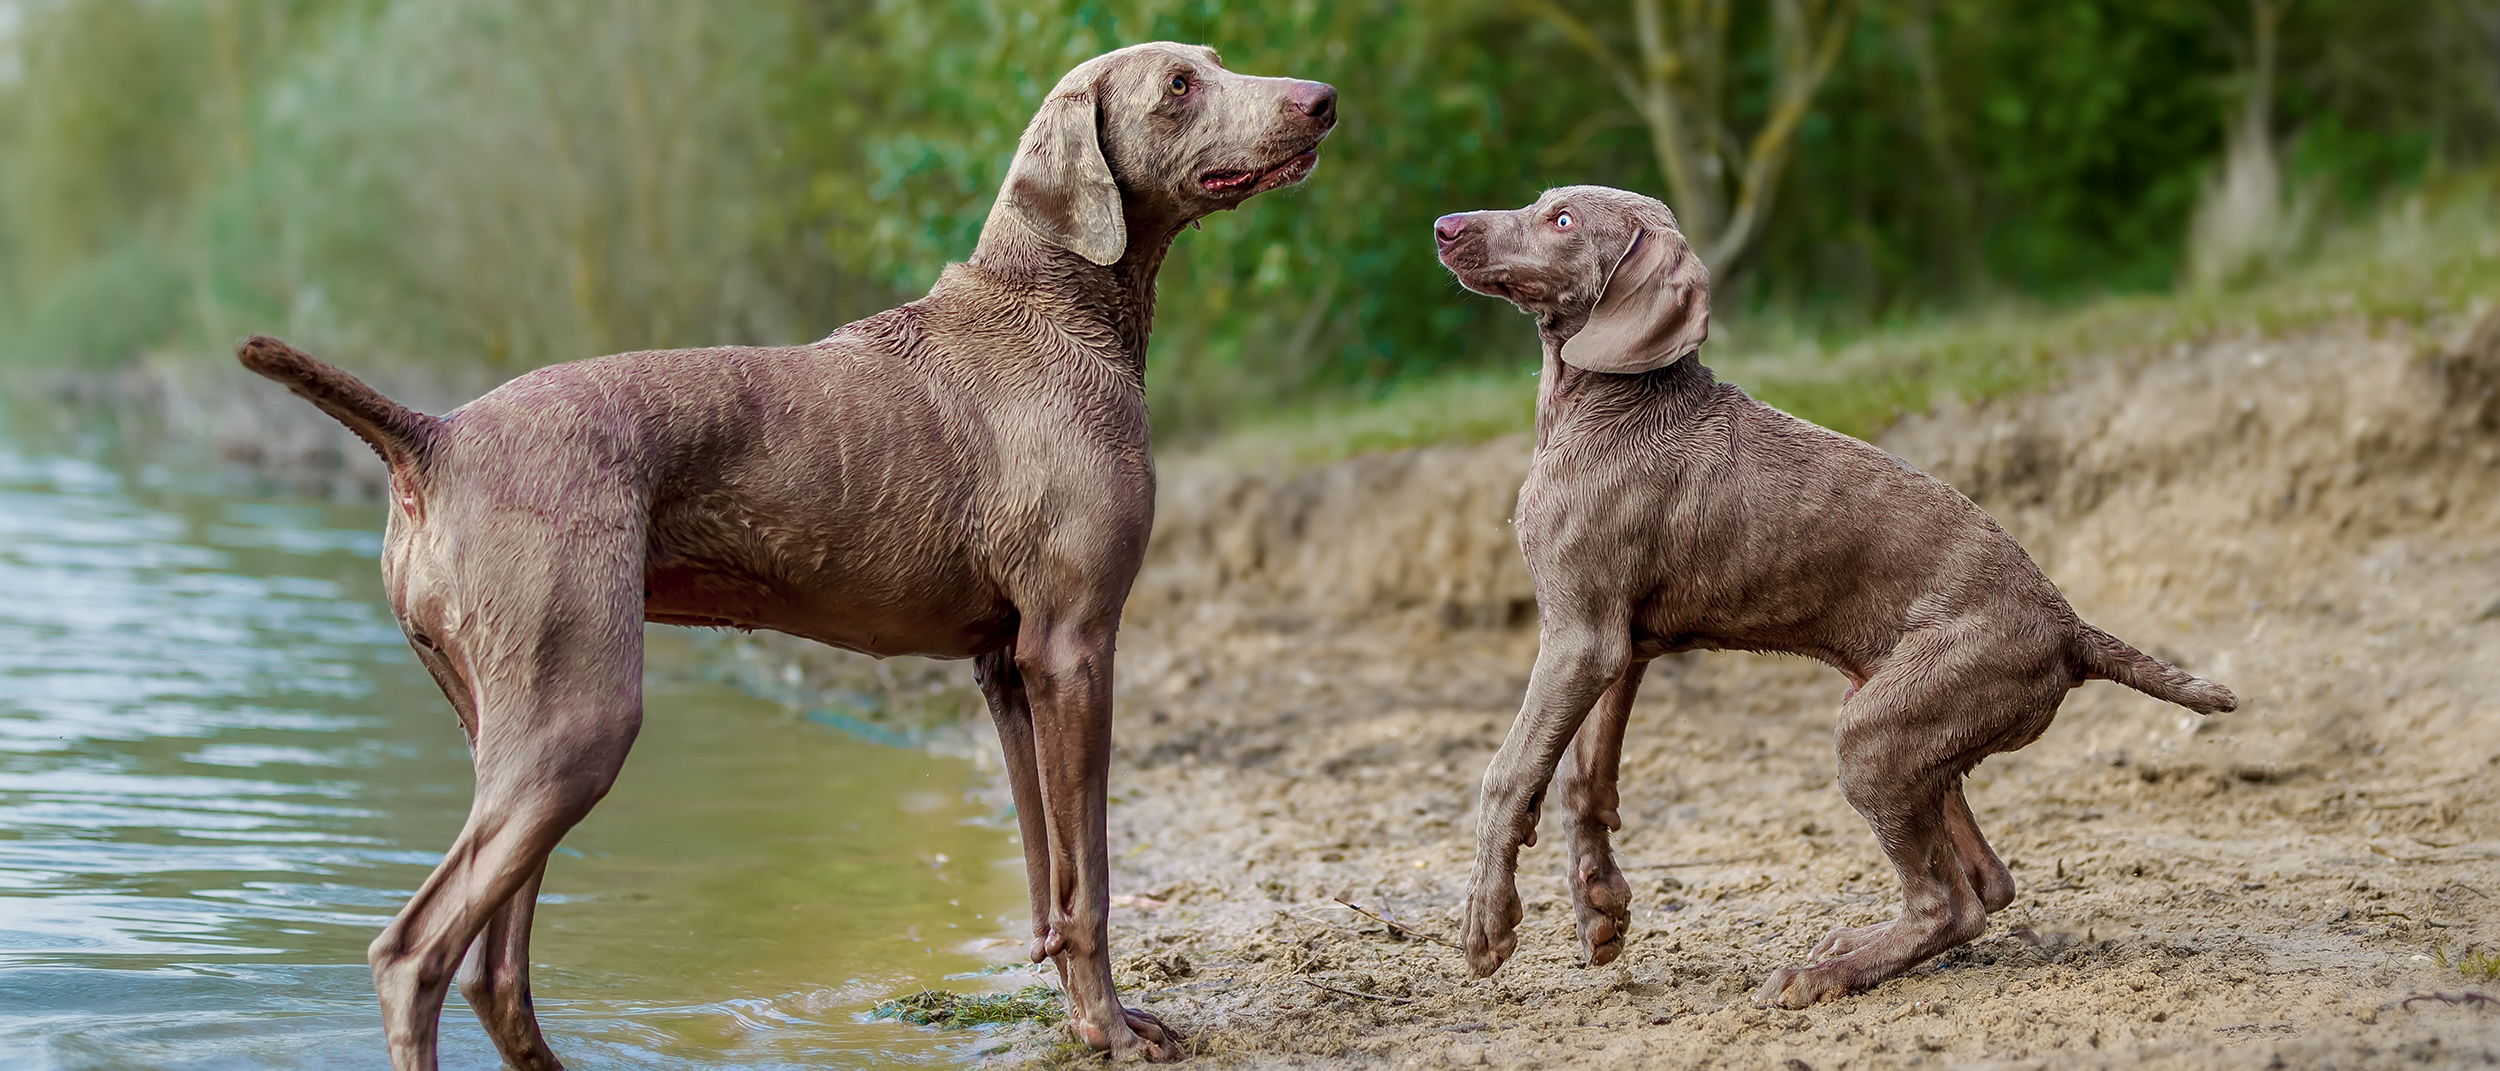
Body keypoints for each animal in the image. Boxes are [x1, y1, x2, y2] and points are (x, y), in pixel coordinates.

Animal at [246, 43, 1340, 1071]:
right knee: (414, 954)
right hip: (577, 720)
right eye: (1178, 85)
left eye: (1215, 63)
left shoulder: (1009, 665)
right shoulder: (1074, 643)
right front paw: (1110, 1030)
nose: (1323, 99)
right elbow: (1093, 878)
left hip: (512, 729)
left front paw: (1083, 1016)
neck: (1051, 306)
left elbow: (1047, 872)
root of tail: (433, 436)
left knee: (494, 966)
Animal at [1440, 186, 2240, 1010]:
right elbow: (1581, 777)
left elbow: (1508, 770)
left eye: (1562, 220)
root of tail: (2069, 626)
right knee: (1988, 883)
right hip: (1906, 723)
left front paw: (1487, 923)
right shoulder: (1619, 645)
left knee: (1950, 903)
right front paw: (1599, 906)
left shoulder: (1580, 639)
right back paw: (1853, 944)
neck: (1608, 402)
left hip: (1873, 733)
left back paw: (1818, 976)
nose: (1445, 227)